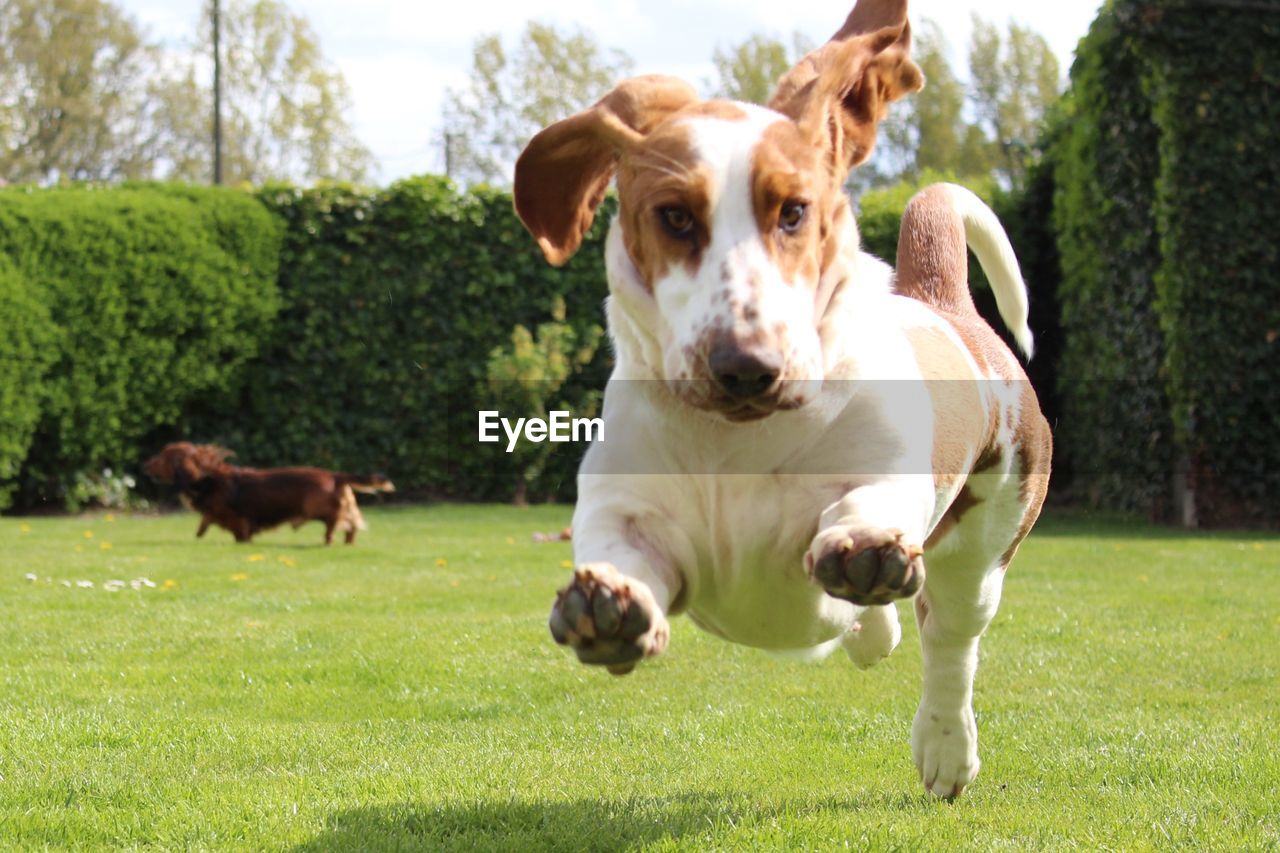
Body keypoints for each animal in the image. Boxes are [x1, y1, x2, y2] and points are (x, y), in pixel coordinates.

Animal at [142, 440, 391, 540]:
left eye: (162, 457)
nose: (144, 465)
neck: (208, 477)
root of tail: (334, 475)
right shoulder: (214, 514)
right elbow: (203, 525)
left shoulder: (238, 518)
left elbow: (240, 533)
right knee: (351, 524)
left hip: (319, 509)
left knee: (339, 523)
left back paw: (330, 540)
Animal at [509, 0, 1049, 799]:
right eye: (674, 216)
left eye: (794, 211)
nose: (746, 367)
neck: (734, 438)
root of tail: (944, 303)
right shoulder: (626, 511)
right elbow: (622, 550)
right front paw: (608, 604)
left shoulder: (883, 477)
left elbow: (866, 508)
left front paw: (864, 546)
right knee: (886, 628)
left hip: (987, 549)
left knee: (949, 639)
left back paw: (946, 748)